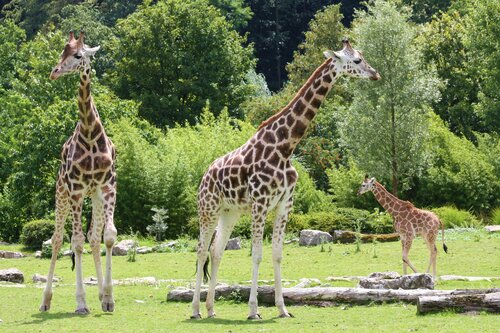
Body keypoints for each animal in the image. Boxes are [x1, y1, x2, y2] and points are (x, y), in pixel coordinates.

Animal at [39, 29, 117, 312]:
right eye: (62, 52)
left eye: (78, 55)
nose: (54, 72)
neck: (90, 135)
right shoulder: (75, 191)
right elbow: (76, 242)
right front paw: (81, 303)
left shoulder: (107, 187)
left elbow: (107, 237)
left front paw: (108, 299)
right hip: (61, 193)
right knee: (57, 240)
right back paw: (45, 301)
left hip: (93, 196)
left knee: (93, 238)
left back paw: (101, 297)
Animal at [193, 39, 380, 320]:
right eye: (356, 60)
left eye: (363, 56)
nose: (375, 74)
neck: (286, 147)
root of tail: (205, 175)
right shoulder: (260, 203)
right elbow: (257, 255)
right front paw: (253, 310)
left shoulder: (284, 204)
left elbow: (278, 255)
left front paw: (283, 309)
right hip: (208, 209)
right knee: (201, 250)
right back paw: (195, 310)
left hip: (230, 212)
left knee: (216, 252)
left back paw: (211, 309)